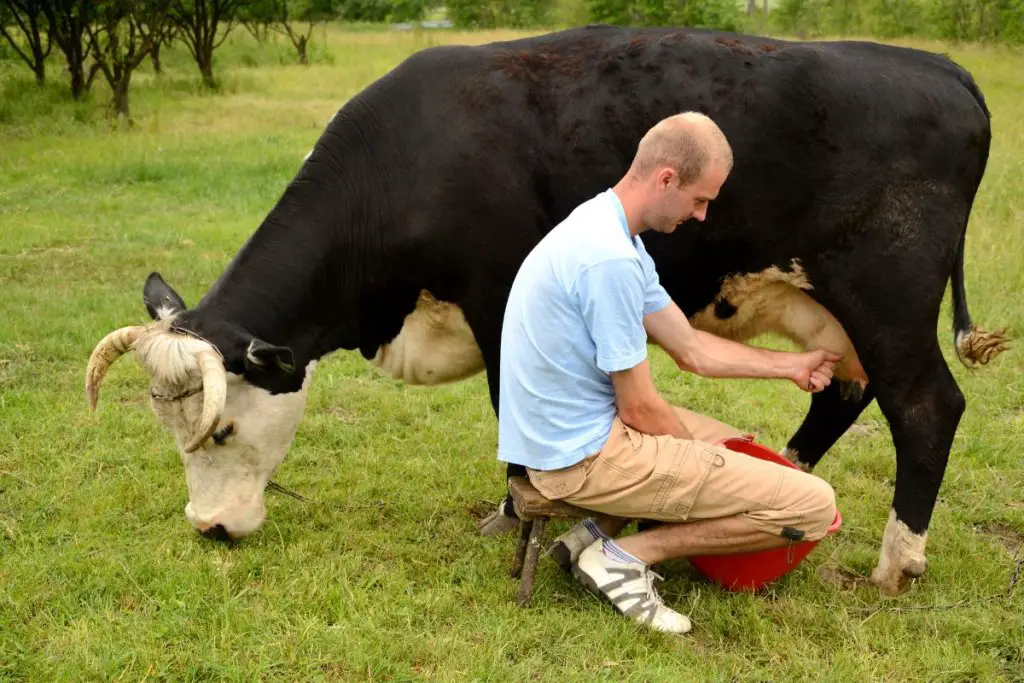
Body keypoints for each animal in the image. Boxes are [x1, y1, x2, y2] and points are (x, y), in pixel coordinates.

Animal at [81, 24, 1007, 593]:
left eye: (223, 432)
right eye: (169, 431)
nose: (209, 527)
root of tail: (940, 68)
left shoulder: (500, 301)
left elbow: (510, 415)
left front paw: (508, 513)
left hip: (887, 298)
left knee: (927, 407)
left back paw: (897, 562)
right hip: (831, 312)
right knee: (844, 394)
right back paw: (781, 474)